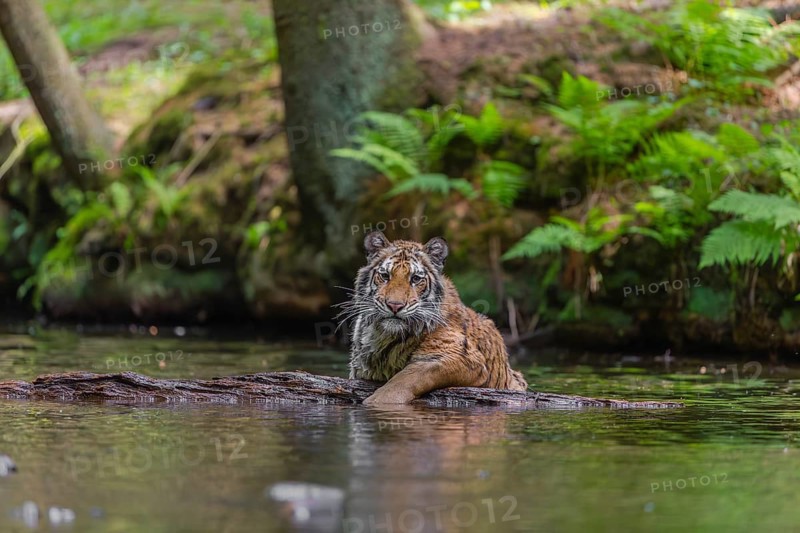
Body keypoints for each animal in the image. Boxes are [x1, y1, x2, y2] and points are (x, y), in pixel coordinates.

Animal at [339, 230, 528, 405]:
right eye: (385, 276)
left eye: (415, 278)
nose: (394, 305)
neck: (382, 336)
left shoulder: (461, 356)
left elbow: (408, 377)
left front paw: (377, 401)